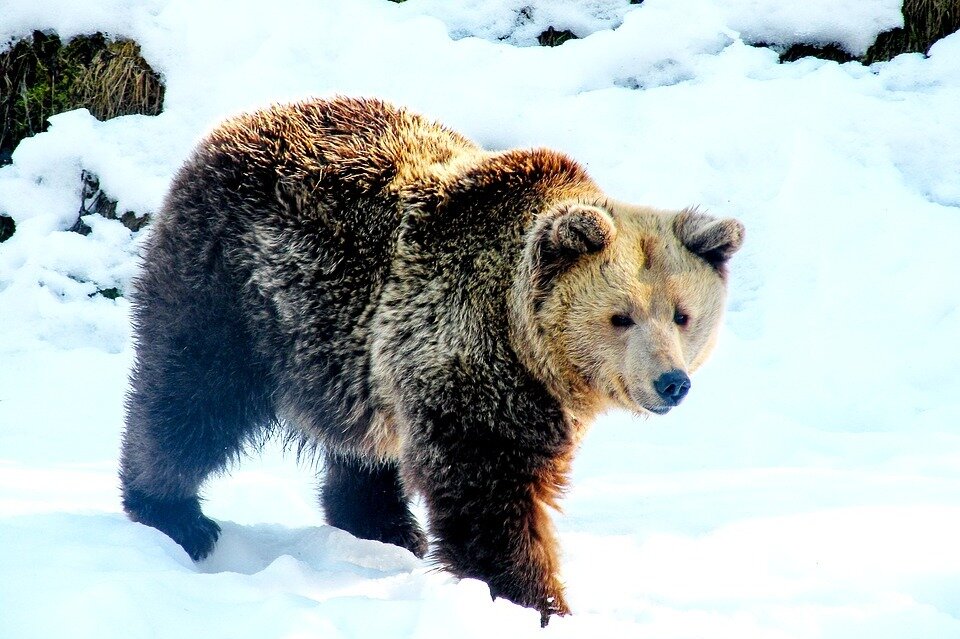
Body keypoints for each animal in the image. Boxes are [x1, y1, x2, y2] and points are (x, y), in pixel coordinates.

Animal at [118, 95, 744, 624]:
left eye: (682, 315)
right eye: (621, 316)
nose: (670, 382)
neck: (531, 349)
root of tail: (235, 124)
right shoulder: (471, 362)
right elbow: (489, 494)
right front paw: (537, 600)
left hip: (344, 352)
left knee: (363, 446)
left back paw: (384, 527)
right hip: (234, 294)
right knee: (190, 399)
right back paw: (174, 515)